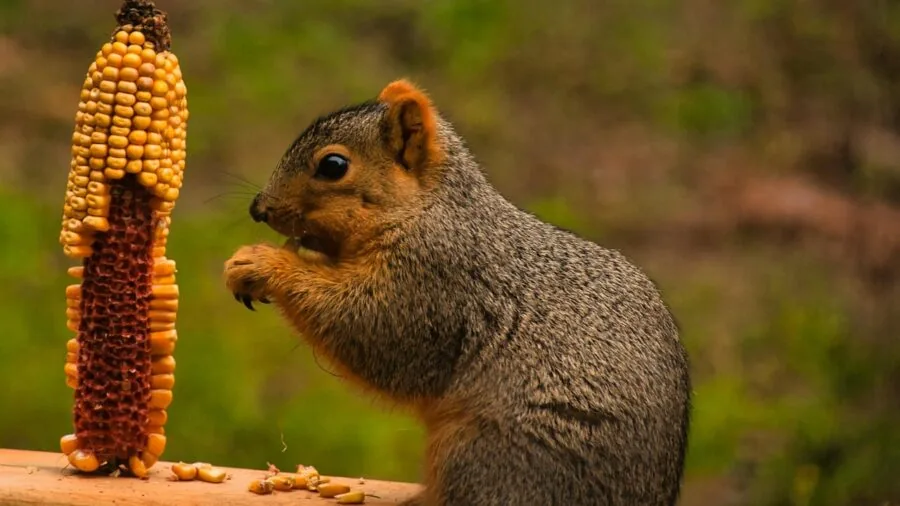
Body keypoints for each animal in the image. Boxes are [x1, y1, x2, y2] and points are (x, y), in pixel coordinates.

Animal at [223, 79, 692, 506]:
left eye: (334, 165)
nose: (258, 209)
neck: (428, 209)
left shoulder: (431, 282)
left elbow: (373, 332)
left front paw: (262, 263)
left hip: (487, 457)